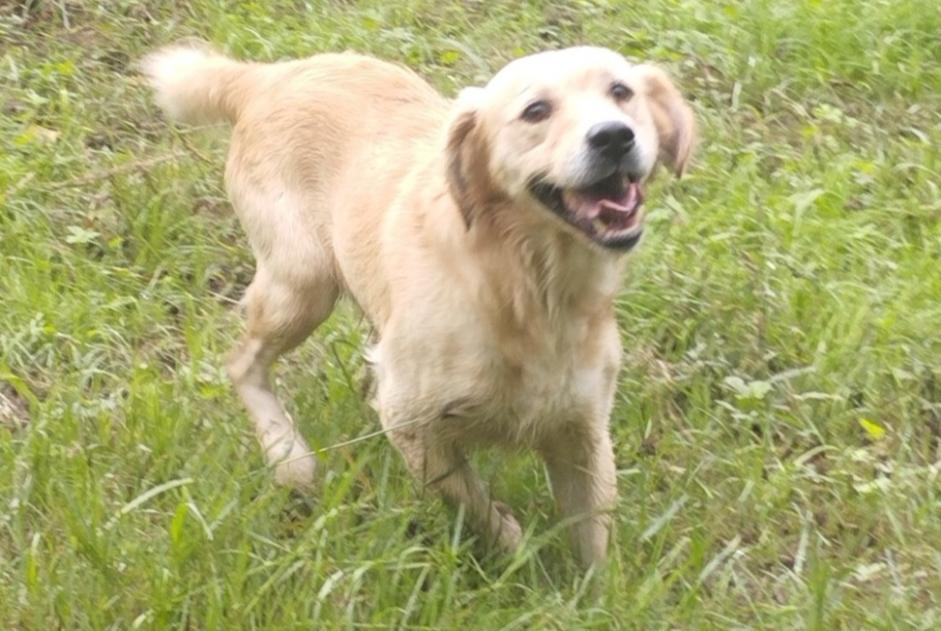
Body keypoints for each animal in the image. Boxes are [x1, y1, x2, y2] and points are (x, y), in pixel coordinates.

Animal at [143, 44, 692, 568]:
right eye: (536, 110)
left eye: (621, 92)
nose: (614, 136)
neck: (525, 284)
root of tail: (267, 75)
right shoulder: (410, 421)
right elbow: (473, 502)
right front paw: (515, 548)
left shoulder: (583, 434)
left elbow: (594, 546)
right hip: (302, 284)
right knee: (241, 362)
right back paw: (288, 457)